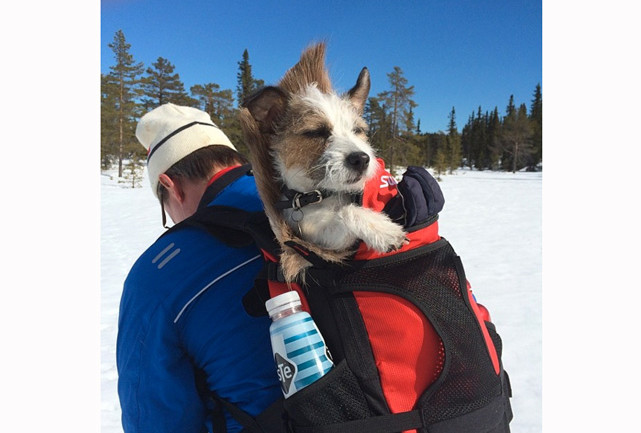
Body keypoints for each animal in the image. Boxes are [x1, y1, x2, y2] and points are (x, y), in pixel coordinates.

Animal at [240, 43, 404, 280]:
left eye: (357, 130)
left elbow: (346, 210)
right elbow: (347, 212)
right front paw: (383, 231)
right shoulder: (323, 245)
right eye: (316, 132)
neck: (319, 196)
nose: (361, 159)